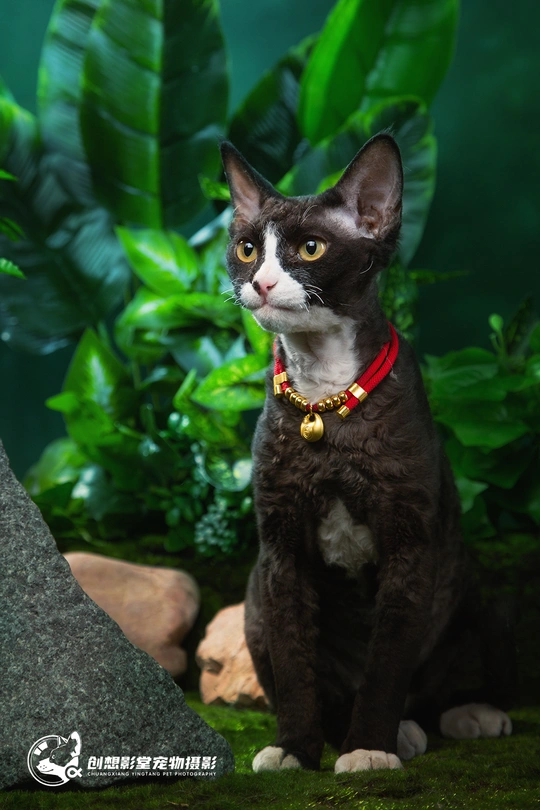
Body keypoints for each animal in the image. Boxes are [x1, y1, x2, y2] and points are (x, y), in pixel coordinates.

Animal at [220, 134, 516, 773]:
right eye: (247, 248)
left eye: (311, 248)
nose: (260, 283)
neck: (323, 399)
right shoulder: (279, 547)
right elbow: (293, 657)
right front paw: (295, 749)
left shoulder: (410, 540)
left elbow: (389, 660)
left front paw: (368, 751)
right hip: (252, 593)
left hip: (475, 589)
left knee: (441, 674)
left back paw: (466, 714)